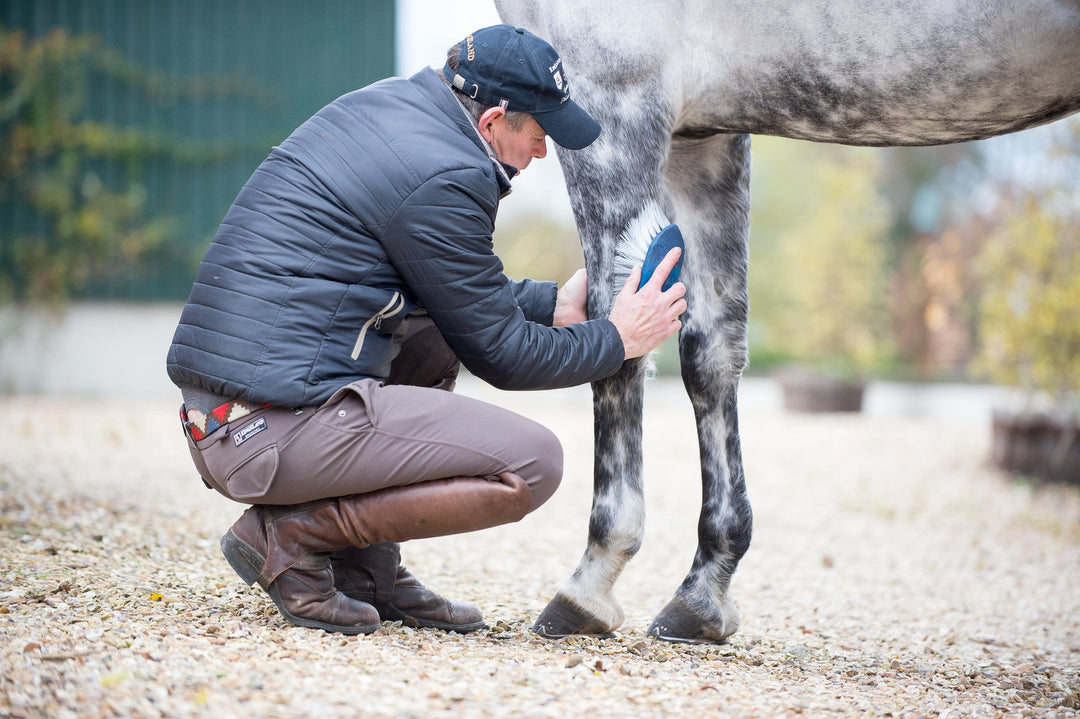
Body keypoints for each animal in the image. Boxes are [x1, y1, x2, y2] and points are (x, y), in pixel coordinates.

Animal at [494, 0, 1080, 639]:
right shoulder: (705, 136)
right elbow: (710, 356)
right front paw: (705, 590)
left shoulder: (609, 96)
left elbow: (620, 344)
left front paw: (592, 580)